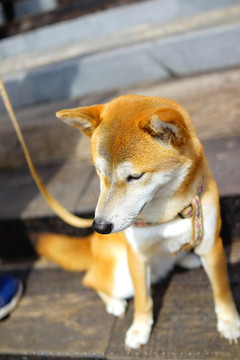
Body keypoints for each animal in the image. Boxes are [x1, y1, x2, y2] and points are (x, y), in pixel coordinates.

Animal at [36, 95, 239, 348]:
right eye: (100, 173)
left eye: (135, 176)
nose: (100, 226)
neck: (169, 212)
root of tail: (92, 243)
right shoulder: (137, 255)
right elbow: (143, 299)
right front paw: (140, 328)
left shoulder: (211, 245)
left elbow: (221, 289)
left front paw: (229, 320)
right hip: (120, 277)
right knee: (91, 280)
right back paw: (114, 303)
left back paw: (186, 259)